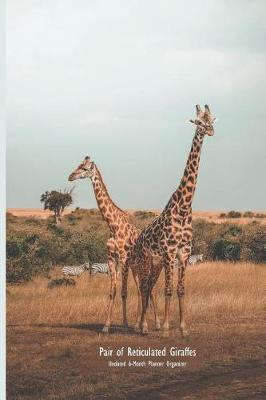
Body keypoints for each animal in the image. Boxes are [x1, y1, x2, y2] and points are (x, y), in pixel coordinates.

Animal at [68, 156, 160, 332]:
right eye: (78, 165)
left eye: (84, 168)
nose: (70, 176)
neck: (113, 226)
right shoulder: (112, 259)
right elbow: (113, 292)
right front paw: (106, 326)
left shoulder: (123, 260)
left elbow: (124, 292)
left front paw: (124, 325)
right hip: (136, 268)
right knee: (141, 290)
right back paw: (138, 324)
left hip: (146, 265)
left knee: (150, 290)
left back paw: (155, 324)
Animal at [122, 104, 216, 336]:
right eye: (199, 122)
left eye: (211, 120)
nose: (210, 131)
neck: (184, 207)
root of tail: (138, 240)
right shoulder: (169, 252)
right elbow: (168, 290)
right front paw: (165, 328)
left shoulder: (184, 253)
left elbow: (181, 290)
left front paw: (183, 328)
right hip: (146, 261)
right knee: (144, 287)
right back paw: (142, 326)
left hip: (155, 264)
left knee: (148, 288)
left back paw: (143, 326)